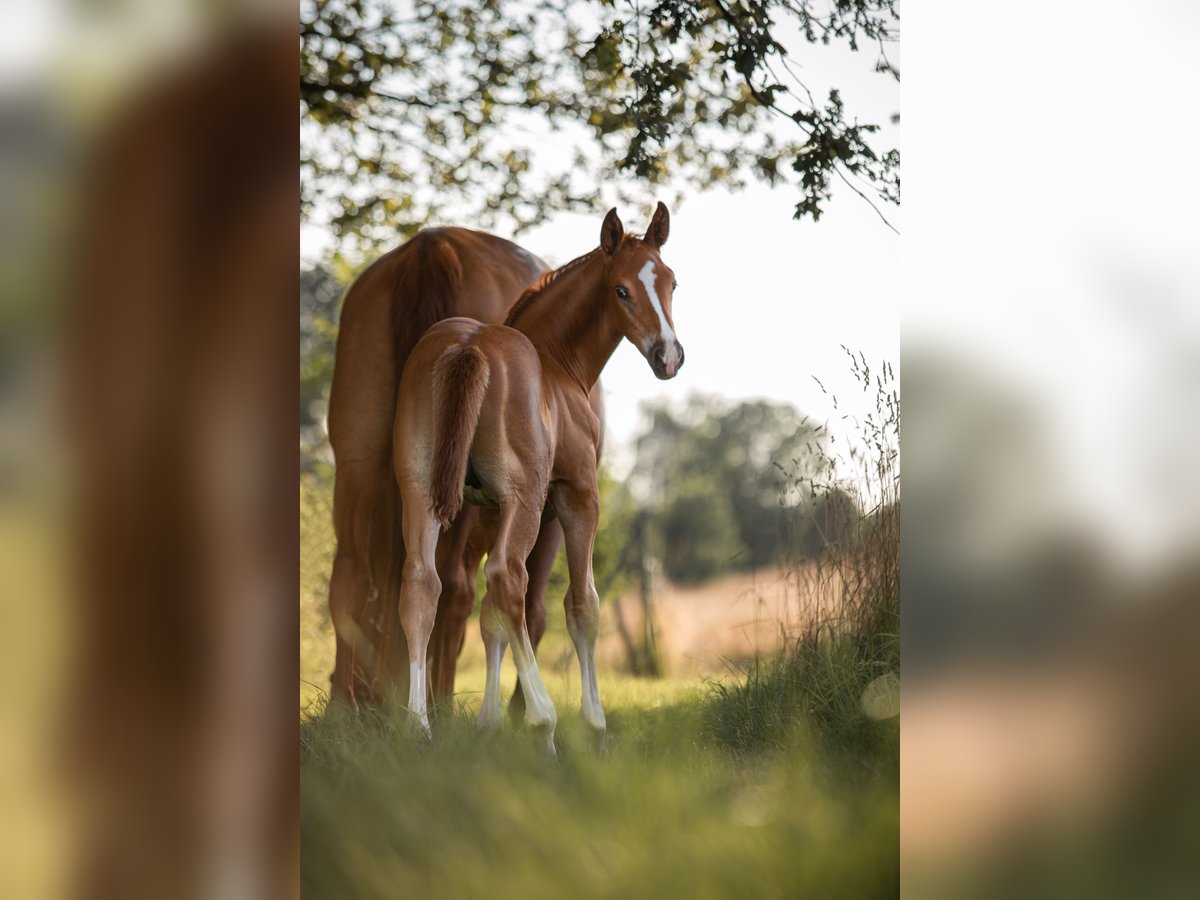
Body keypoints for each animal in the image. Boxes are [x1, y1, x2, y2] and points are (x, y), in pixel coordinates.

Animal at [326, 229, 600, 715]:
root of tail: (435, 244)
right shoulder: (550, 507)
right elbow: (534, 607)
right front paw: (519, 710)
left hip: (361, 464)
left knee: (355, 576)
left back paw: (347, 706)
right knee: (456, 587)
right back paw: (440, 704)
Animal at [391, 206, 681, 753]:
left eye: (672, 282)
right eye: (621, 290)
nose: (668, 356)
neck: (556, 364)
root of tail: (469, 347)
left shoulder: (486, 506)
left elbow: (489, 620)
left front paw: (486, 723)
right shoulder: (577, 495)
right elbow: (582, 605)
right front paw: (594, 726)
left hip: (418, 490)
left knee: (423, 582)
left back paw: (418, 727)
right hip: (526, 499)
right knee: (510, 579)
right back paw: (543, 721)